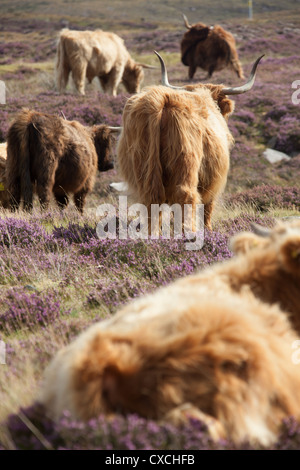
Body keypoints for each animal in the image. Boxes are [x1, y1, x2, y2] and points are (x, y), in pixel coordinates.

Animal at [117, 51, 262, 231]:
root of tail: (162, 100)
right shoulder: (213, 182)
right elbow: (207, 208)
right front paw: (208, 230)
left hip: (142, 167)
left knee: (151, 201)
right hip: (186, 164)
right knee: (186, 197)